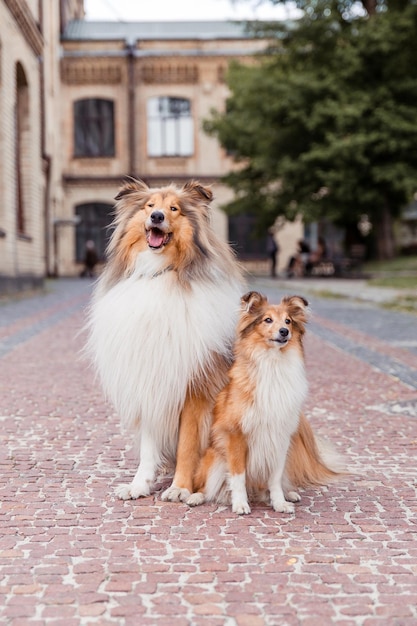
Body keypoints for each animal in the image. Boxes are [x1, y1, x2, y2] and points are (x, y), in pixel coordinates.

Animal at [87, 178, 244, 500]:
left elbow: (187, 444)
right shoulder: (150, 382)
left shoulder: (194, 388)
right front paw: (139, 485)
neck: (160, 272)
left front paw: (179, 488)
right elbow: (149, 448)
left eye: (174, 209)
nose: (156, 217)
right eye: (149, 206)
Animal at [187, 292, 340, 512]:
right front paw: (240, 504)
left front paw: (279, 502)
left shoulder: (279, 438)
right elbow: (238, 476)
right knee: (207, 487)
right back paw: (196, 497)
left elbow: (274, 478)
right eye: (267, 320)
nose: (284, 332)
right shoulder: (236, 435)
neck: (273, 363)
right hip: (213, 459)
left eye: (288, 321)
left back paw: (288, 494)